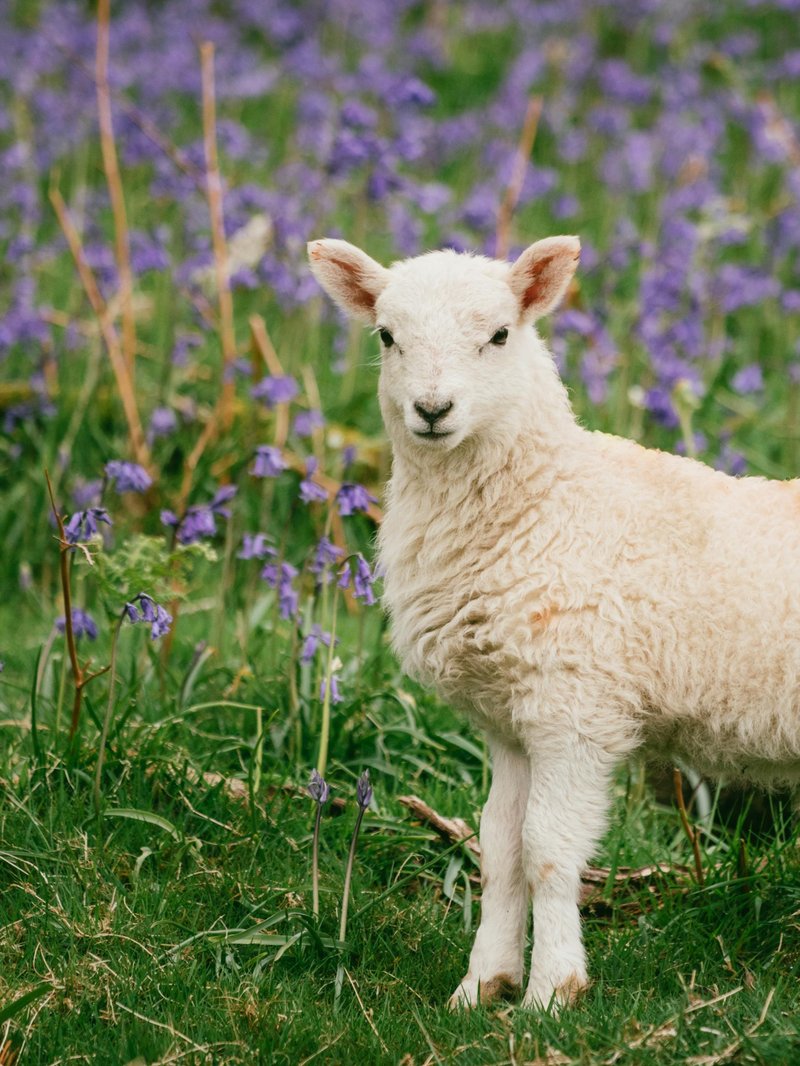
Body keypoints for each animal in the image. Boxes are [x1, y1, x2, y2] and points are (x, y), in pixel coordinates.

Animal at [307, 234, 800, 1011]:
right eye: (387, 336)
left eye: (500, 335)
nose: (433, 409)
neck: (544, 499)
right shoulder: (510, 721)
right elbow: (499, 848)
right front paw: (482, 985)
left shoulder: (575, 707)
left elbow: (546, 849)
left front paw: (550, 994)